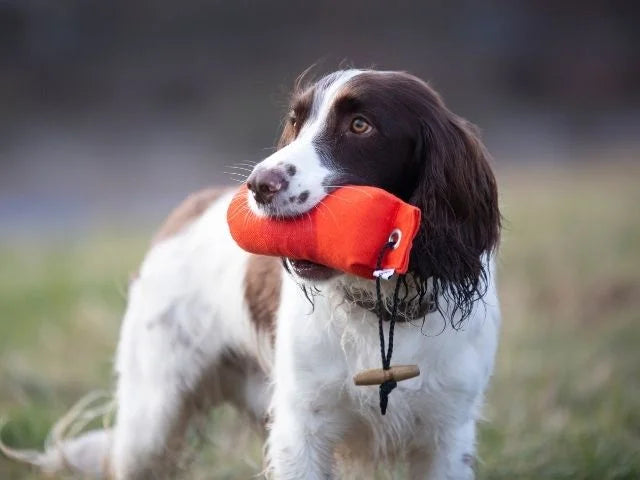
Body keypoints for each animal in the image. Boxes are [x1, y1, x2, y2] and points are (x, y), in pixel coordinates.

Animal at [6, 69, 504, 478]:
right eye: (297, 122)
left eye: (360, 125)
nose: (259, 185)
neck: (382, 307)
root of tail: (190, 206)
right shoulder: (301, 430)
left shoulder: (446, 435)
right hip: (150, 422)